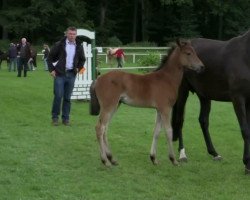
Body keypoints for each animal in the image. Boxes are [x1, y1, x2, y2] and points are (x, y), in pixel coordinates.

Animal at [172, 30, 250, 173]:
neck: (245, 55)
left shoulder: (249, 101)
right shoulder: (238, 99)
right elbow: (245, 130)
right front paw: (247, 164)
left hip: (204, 96)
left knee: (203, 121)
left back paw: (214, 153)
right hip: (182, 92)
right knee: (179, 120)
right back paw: (182, 155)